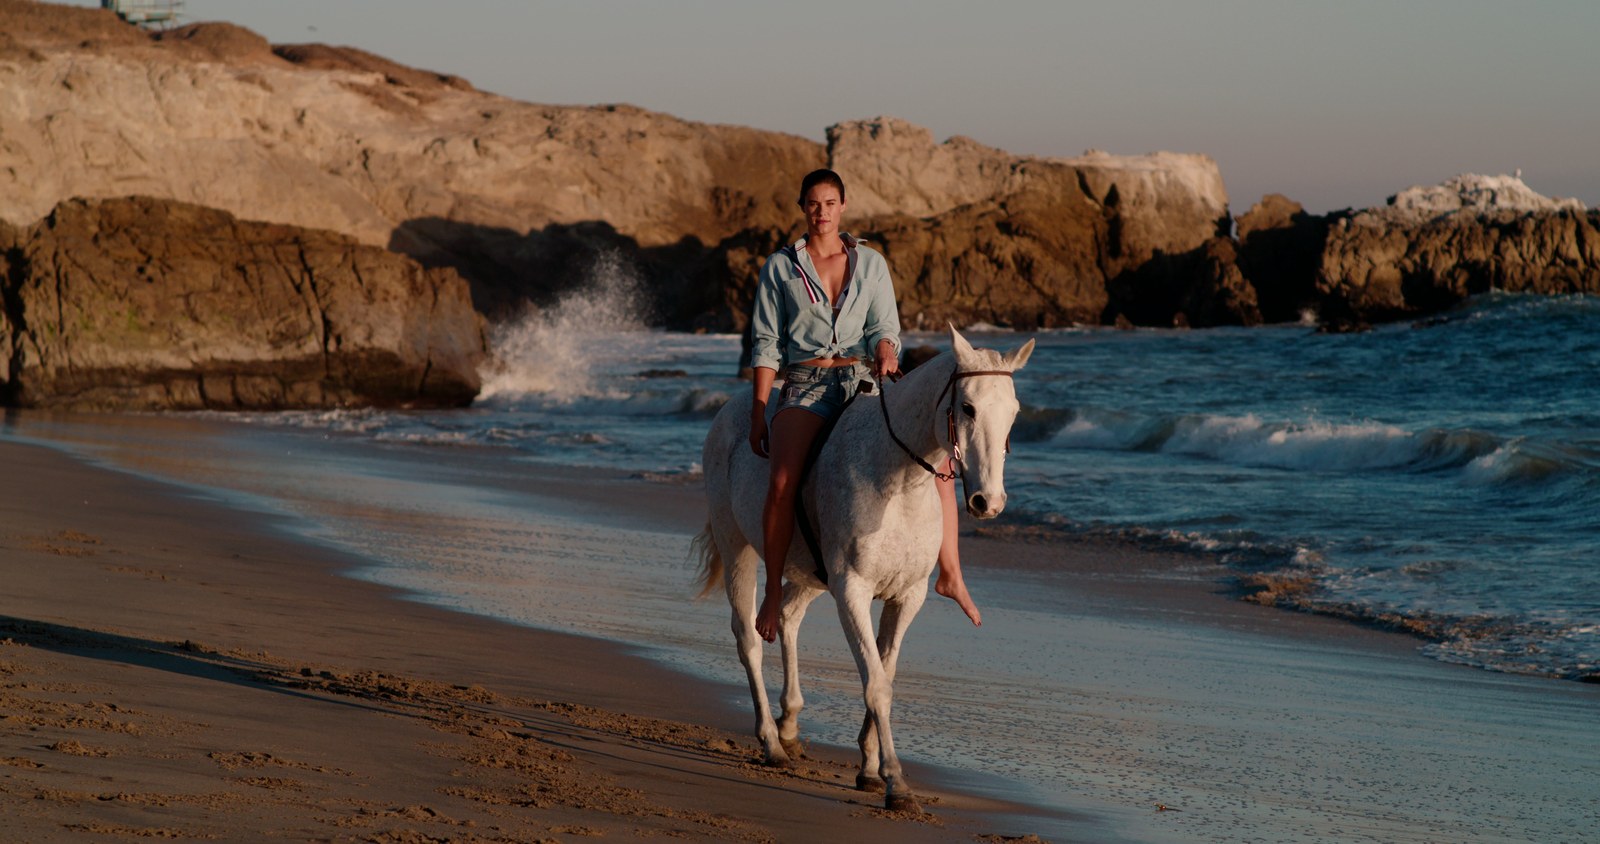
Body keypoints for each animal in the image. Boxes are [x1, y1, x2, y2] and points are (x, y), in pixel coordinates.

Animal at [694, 327, 1034, 812]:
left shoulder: (906, 597)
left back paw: (789, 724)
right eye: (967, 408)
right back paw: (771, 743)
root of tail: (733, 407)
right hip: (736, 544)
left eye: (1013, 413)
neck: (897, 480)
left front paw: (869, 767)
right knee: (749, 639)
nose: (988, 502)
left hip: (811, 575)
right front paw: (895, 782)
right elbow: (876, 684)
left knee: (787, 615)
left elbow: (885, 673)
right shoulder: (851, 591)